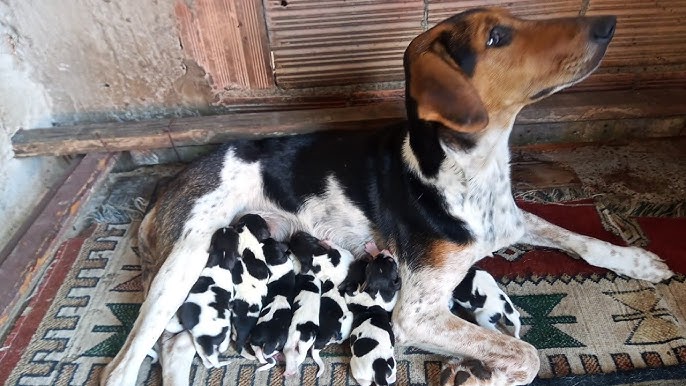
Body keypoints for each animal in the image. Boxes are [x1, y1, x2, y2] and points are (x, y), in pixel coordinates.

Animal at [344, 246, 404, 386]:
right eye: (371, 263)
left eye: (367, 266)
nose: (383, 252)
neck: (377, 291)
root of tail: (379, 369)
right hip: (391, 367)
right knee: (391, 377)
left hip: (356, 367)